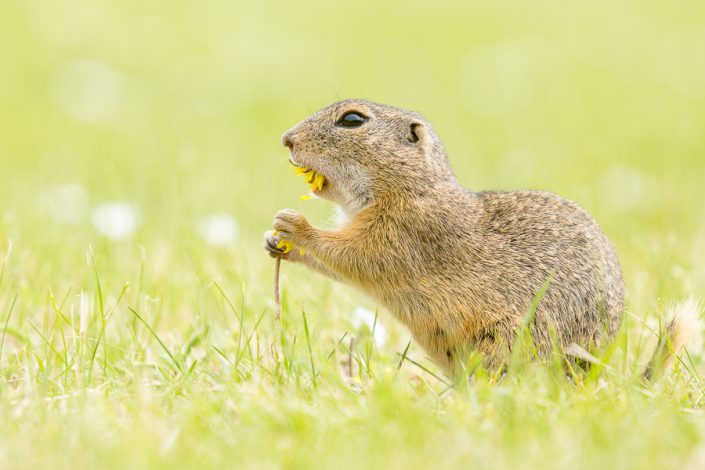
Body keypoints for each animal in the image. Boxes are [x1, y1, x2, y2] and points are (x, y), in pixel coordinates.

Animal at [266, 99, 632, 374]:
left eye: (352, 120)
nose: (286, 139)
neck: (412, 188)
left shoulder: (406, 232)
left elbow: (356, 256)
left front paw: (294, 225)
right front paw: (275, 243)